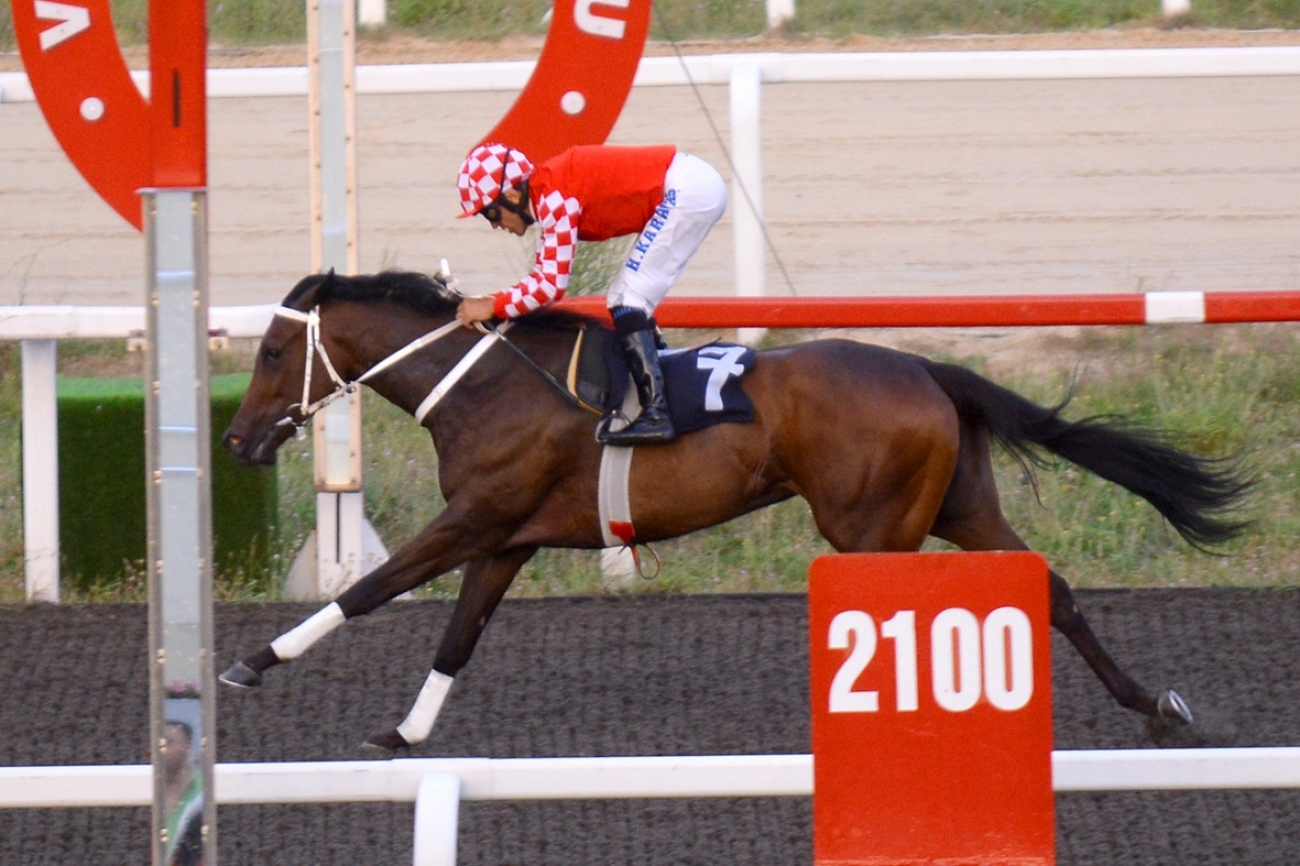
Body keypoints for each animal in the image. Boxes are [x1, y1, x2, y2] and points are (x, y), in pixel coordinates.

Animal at [220, 270, 1248, 748]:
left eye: (271, 352)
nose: (237, 440)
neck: (481, 387)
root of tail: (929, 369)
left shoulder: (472, 521)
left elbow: (367, 592)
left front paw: (247, 665)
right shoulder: (504, 539)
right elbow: (456, 638)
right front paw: (403, 733)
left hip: (872, 530)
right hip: (959, 508)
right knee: (1055, 591)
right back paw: (1155, 705)